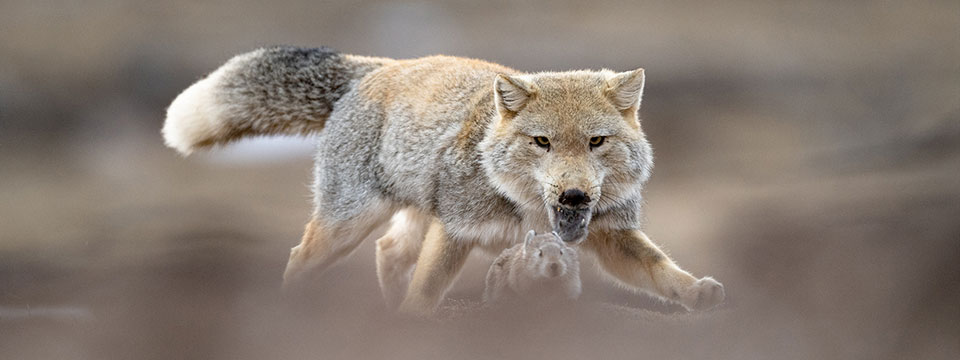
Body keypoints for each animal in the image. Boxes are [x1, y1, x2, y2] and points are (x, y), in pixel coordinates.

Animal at [161, 45, 724, 316]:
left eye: (596, 142)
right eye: (542, 142)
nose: (574, 194)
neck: (532, 209)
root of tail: (382, 67)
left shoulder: (612, 235)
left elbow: (661, 272)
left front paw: (697, 291)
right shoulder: (457, 230)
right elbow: (428, 290)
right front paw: (416, 319)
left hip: (410, 220)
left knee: (388, 252)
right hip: (348, 225)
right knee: (302, 258)